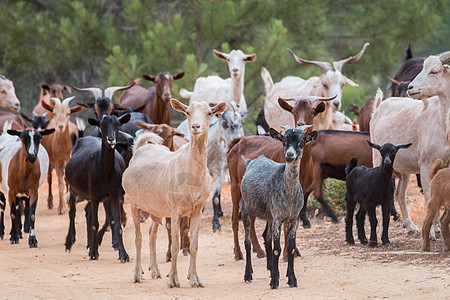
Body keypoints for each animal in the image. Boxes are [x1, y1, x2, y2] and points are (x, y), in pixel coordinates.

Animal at [122, 99, 225, 288]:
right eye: (187, 112)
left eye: (209, 113)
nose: (196, 126)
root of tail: (139, 149)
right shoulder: (176, 210)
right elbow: (175, 245)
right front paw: (173, 280)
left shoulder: (197, 209)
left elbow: (194, 245)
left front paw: (195, 279)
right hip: (133, 202)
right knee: (138, 238)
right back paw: (137, 274)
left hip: (156, 208)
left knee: (152, 234)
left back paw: (155, 271)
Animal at [239, 123, 316, 288]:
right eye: (284, 141)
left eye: (301, 142)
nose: (289, 155)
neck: (288, 195)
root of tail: (251, 161)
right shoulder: (277, 218)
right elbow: (277, 249)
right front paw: (274, 282)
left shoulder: (293, 218)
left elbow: (290, 248)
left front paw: (292, 279)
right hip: (246, 209)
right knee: (247, 242)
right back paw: (248, 275)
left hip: (268, 215)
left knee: (266, 237)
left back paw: (272, 270)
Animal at [370, 52, 450, 239]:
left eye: (434, 71)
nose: (411, 88)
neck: (442, 121)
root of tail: (378, 108)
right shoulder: (426, 164)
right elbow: (428, 195)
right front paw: (431, 232)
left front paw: (437, 228)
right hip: (377, 158)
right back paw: (380, 231)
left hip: (404, 168)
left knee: (400, 194)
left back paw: (410, 226)